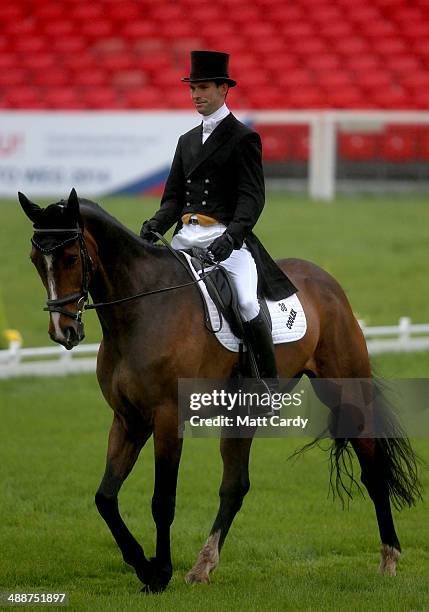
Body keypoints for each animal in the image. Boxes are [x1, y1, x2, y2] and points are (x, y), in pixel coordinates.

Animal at [17, 190, 422, 592]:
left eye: (71, 257)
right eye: (36, 259)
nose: (63, 332)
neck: (142, 308)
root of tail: (327, 281)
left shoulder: (167, 418)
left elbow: (162, 500)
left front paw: (160, 572)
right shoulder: (128, 420)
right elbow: (105, 497)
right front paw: (143, 566)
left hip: (345, 393)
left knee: (373, 470)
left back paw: (389, 558)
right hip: (242, 412)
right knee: (234, 486)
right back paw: (203, 566)